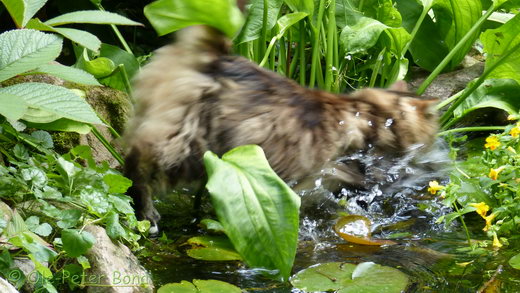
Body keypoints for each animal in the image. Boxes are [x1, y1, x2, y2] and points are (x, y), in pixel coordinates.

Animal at [123, 25, 438, 233]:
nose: (430, 147)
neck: (363, 113)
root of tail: (217, 57)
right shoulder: (313, 177)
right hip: (185, 147)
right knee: (137, 164)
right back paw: (146, 214)